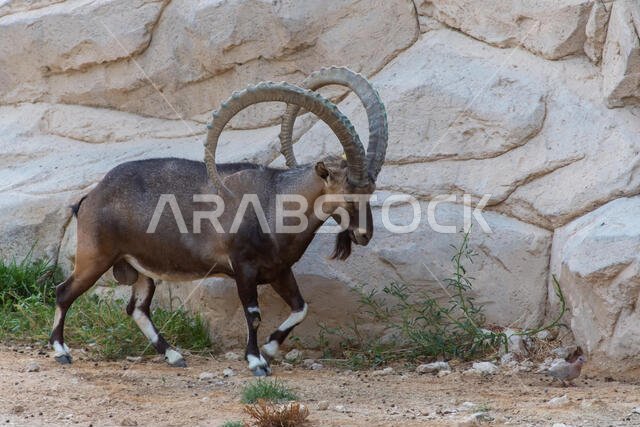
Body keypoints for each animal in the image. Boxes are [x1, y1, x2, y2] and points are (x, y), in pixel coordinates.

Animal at [50, 68, 388, 376]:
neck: (274, 202)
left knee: (138, 309)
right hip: (96, 257)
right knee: (64, 292)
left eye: (370, 191)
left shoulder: (279, 270)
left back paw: (174, 355)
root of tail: (90, 197)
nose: (364, 235)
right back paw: (61, 351)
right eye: (347, 194)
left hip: (140, 268)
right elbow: (253, 314)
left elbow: (300, 308)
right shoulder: (243, 267)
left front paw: (269, 349)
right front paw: (256, 361)